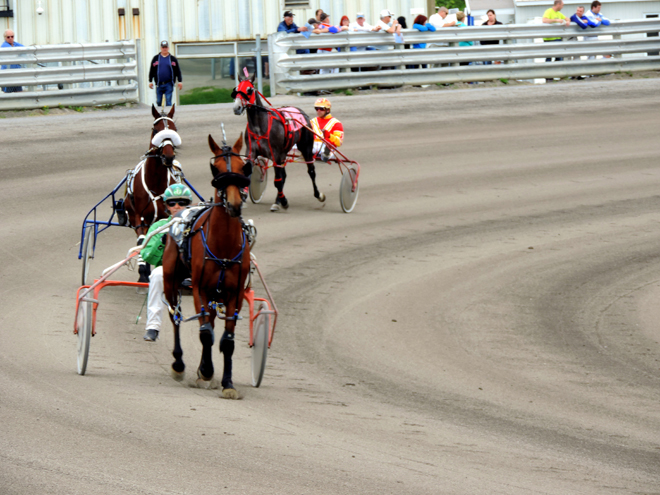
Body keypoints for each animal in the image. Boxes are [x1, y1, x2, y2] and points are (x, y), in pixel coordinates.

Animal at [122, 103, 180, 282]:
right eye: (156, 130)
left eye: (174, 129)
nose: (168, 156)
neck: (155, 182)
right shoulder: (139, 218)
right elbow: (142, 241)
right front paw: (143, 274)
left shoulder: (165, 217)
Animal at [162, 132, 250, 400]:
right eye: (217, 168)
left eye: (243, 166)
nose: (233, 204)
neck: (224, 246)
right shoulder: (199, 289)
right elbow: (205, 334)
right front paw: (208, 371)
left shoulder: (234, 295)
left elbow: (227, 340)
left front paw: (227, 383)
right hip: (171, 283)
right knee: (176, 318)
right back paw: (179, 364)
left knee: (208, 320)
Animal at [232, 72, 328, 212]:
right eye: (236, 89)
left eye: (249, 90)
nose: (237, 108)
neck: (260, 126)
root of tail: (302, 112)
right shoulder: (251, 152)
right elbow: (250, 173)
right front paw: (243, 196)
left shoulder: (276, 154)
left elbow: (277, 180)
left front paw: (283, 201)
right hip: (284, 153)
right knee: (283, 175)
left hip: (306, 147)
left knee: (310, 171)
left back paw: (318, 194)